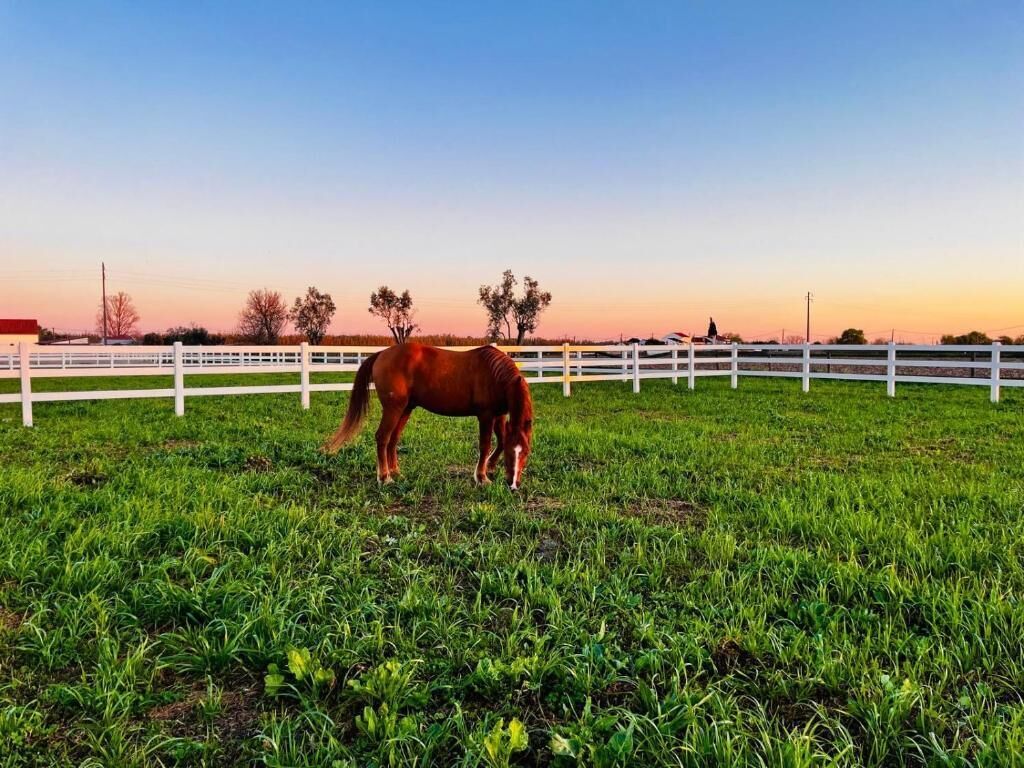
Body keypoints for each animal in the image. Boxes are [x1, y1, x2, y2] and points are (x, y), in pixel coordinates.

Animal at [322, 343, 534, 488]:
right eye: (511, 455)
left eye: (525, 452)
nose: (513, 484)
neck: (494, 374)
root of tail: (381, 353)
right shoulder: (486, 415)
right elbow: (485, 445)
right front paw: (482, 477)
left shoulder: (499, 415)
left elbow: (501, 440)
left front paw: (489, 467)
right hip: (393, 409)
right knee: (382, 437)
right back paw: (385, 477)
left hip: (405, 409)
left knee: (393, 439)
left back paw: (396, 472)